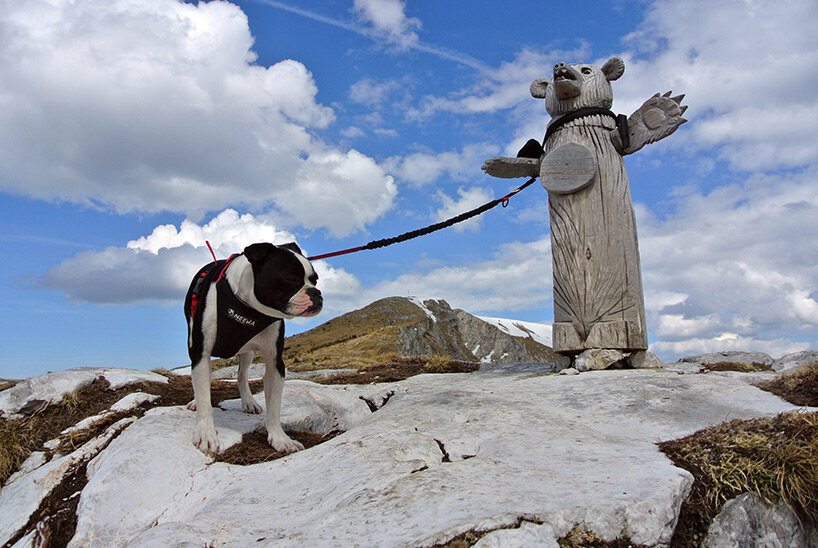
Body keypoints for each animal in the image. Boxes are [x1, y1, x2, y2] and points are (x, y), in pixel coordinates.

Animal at [183, 243, 320, 454]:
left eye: (315, 280)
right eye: (291, 279)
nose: (316, 293)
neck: (248, 308)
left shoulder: (275, 363)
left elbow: (274, 405)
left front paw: (280, 438)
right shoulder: (201, 353)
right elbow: (204, 397)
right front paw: (205, 433)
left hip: (247, 352)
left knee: (241, 374)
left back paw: (248, 401)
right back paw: (194, 401)